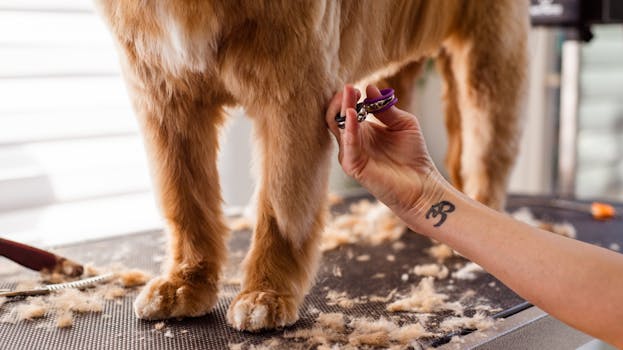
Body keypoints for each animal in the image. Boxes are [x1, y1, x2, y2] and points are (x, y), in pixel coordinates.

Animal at [95, 0, 528, 330]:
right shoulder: (164, 96)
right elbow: (185, 203)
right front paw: (186, 282)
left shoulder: (292, 92)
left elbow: (282, 206)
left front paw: (266, 292)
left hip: (489, 56)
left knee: (487, 146)